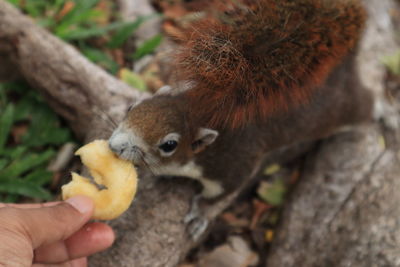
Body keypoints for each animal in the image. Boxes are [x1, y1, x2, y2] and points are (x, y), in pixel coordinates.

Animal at [108, 0, 372, 205]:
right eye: (133, 108)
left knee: (365, 104)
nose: (114, 146)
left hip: (343, 109)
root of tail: (344, 65)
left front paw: (201, 213)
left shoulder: (233, 164)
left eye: (169, 145)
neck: (198, 111)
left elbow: (222, 192)